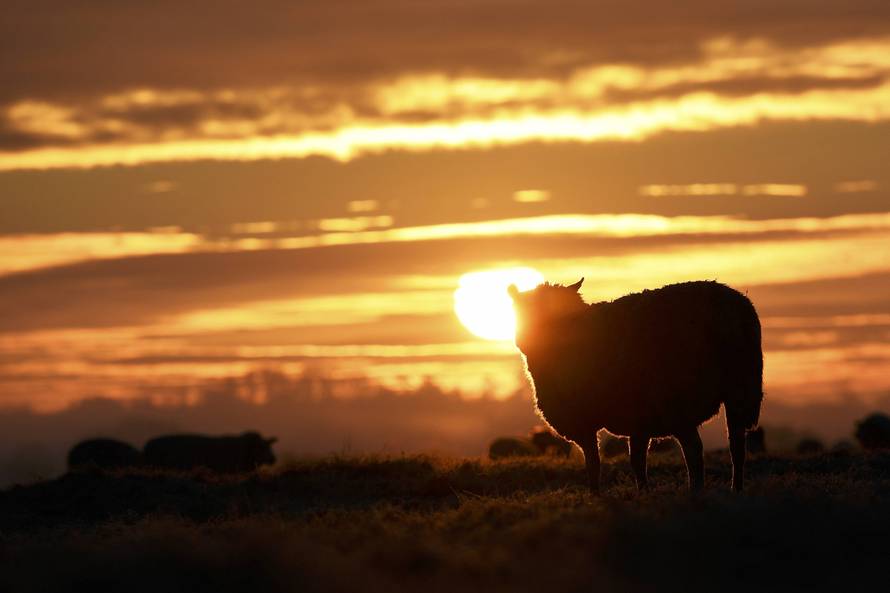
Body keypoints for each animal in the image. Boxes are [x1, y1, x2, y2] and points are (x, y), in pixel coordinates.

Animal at [508, 279, 763, 493]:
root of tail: (738, 308)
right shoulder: (638, 420)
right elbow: (637, 460)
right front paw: (643, 493)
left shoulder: (584, 419)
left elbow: (594, 462)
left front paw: (596, 496)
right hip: (740, 390)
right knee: (736, 445)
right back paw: (736, 489)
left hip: (678, 398)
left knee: (694, 449)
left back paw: (697, 492)